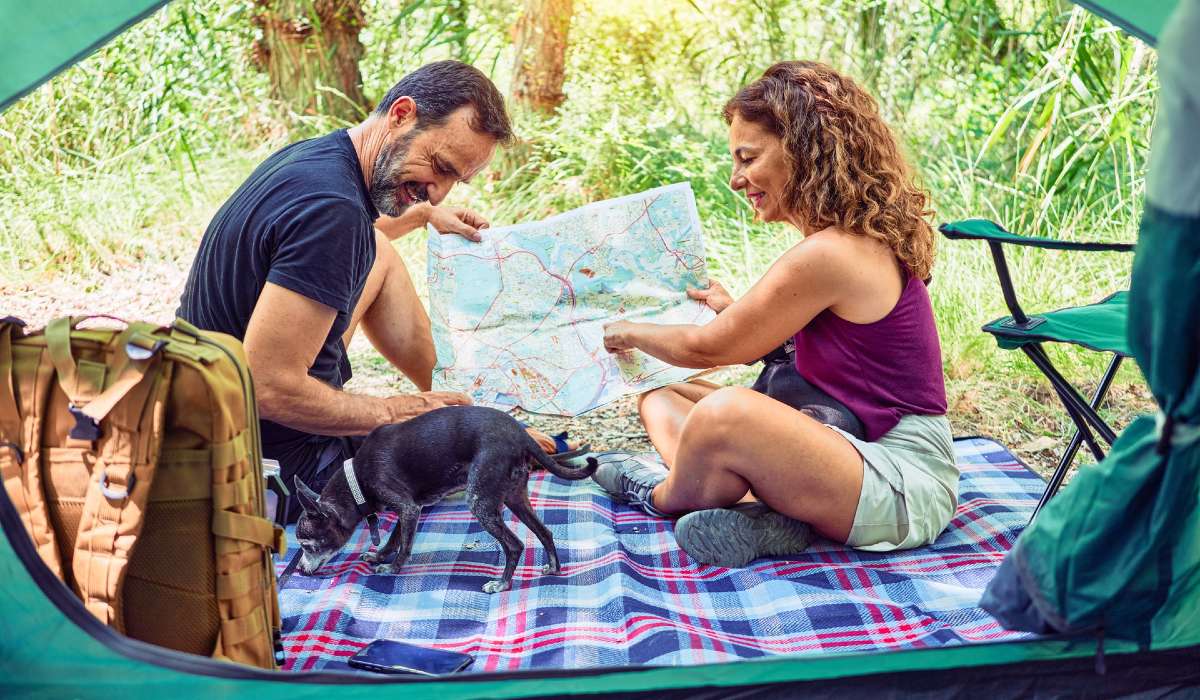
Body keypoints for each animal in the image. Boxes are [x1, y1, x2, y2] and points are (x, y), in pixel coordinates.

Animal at [291, 405, 600, 590]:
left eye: (307, 546)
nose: (302, 572)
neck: (356, 479)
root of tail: (522, 435)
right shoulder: (408, 510)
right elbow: (394, 539)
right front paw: (379, 555)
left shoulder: (408, 508)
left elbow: (404, 546)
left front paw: (391, 568)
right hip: (515, 498)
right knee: (545, 532)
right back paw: (553, 568)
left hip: (480, 502)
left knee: (514, 545)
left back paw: (502, 584)